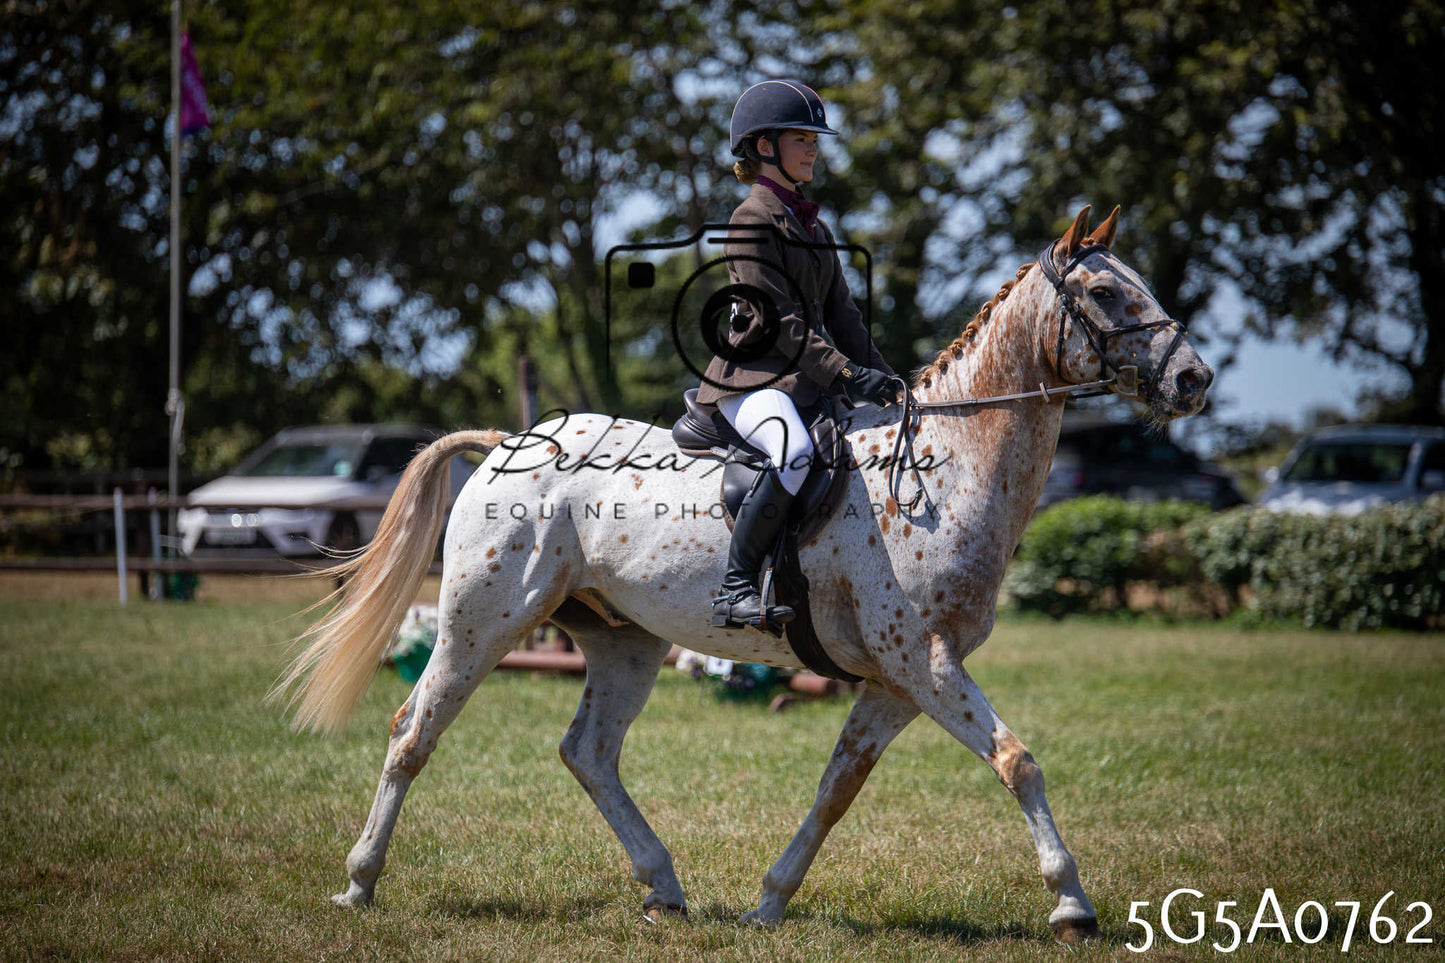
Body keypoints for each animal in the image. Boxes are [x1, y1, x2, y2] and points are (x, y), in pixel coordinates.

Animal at [273, 205, 1215, 942]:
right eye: (1106, 294)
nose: (1194, 379)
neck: (947, 468)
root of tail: (511, 441)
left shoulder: (896, 681)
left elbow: (837, 789)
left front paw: (768, 903)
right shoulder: (923, 661)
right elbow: (1017, 761)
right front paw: (1072, 904)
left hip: (624, 642)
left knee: (589, 751)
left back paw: (663, 886)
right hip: (484, 622)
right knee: (412, 730)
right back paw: (359, 881)